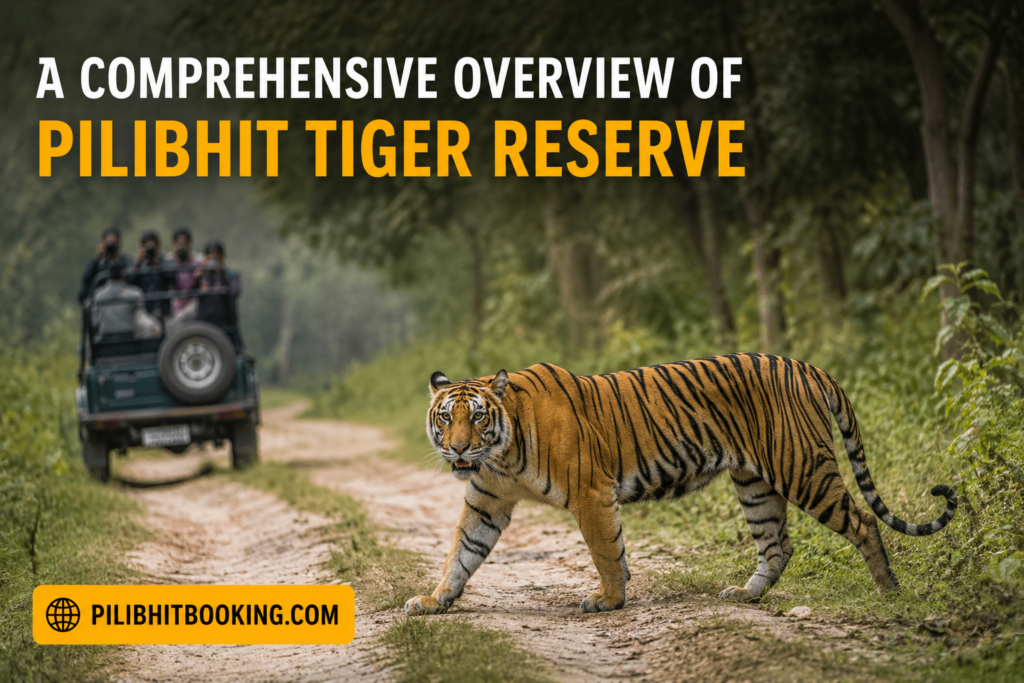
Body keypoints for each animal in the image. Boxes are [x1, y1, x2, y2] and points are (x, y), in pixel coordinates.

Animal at [403, 354, 958, 615]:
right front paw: (434, 601)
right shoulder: (487, 502)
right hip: (755, 483)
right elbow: (461, 554)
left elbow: (606, 551)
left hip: (802, 468)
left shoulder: (591, 493)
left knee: (862, 522)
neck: (500, 454)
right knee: (777, 544)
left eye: (477, 417)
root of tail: (807, 366)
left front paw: (608, 600)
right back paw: (746, 594)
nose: (458, 449)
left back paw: (889, 592)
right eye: (446, 417)